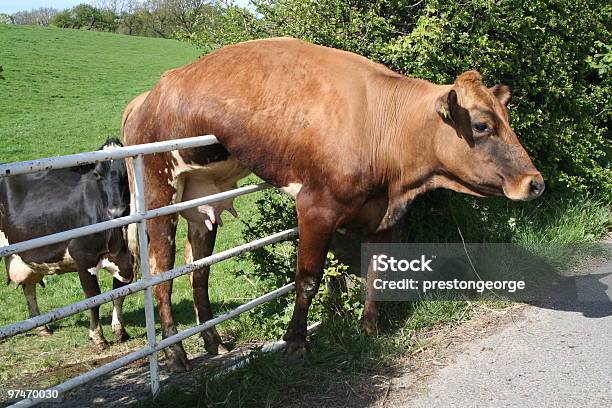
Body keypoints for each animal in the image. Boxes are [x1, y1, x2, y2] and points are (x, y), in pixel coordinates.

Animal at [0, 138, 134, 348]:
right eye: (97, 174)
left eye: (127, 170)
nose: (116, 211)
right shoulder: (82, 255)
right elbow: (94, 296)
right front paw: (97, 336)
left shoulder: (128, 258)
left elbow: (119, 293)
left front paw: (120, 330)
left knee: (29, 287)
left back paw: (42, 327)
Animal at [122, 36, 544, 372]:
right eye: (482, 125)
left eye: (507, 119)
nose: (535, 183)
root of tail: (146, 98)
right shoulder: (316, 207)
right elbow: (307, 279)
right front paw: (296, 343)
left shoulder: (385, 216)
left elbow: (376, 272)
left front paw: (370, 329)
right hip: (158, 192)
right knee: (161, 274)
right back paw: (176, 355)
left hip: (201, 200)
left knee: (199, 271)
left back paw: (215, 342)